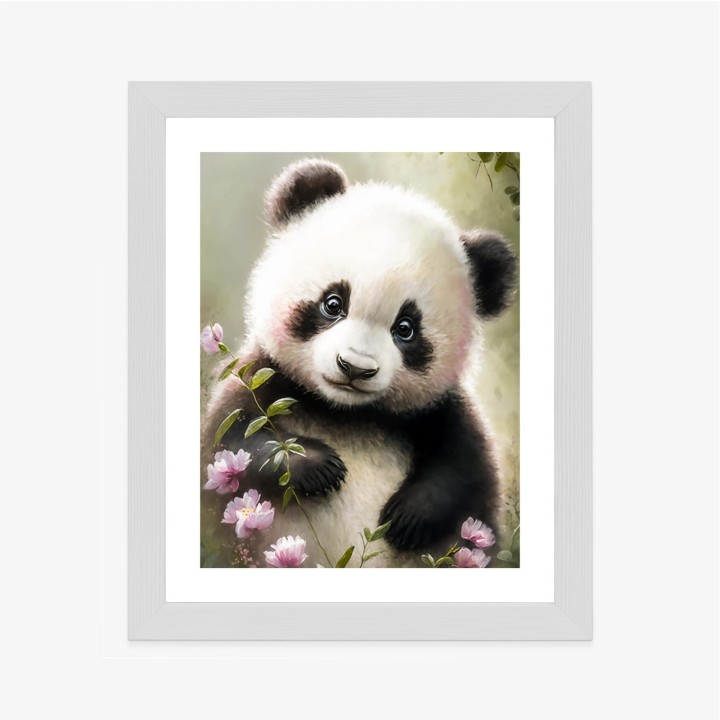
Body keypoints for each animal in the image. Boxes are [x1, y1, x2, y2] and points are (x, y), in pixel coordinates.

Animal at [201, 158, 517, 568]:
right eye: (333, 303)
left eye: (406, 328)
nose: (354, 367)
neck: (347, 413)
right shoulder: (262, 380)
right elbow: (230, 445)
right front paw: (318, 465)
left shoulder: (440, 411)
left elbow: (464, 471)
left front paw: (408, 516)